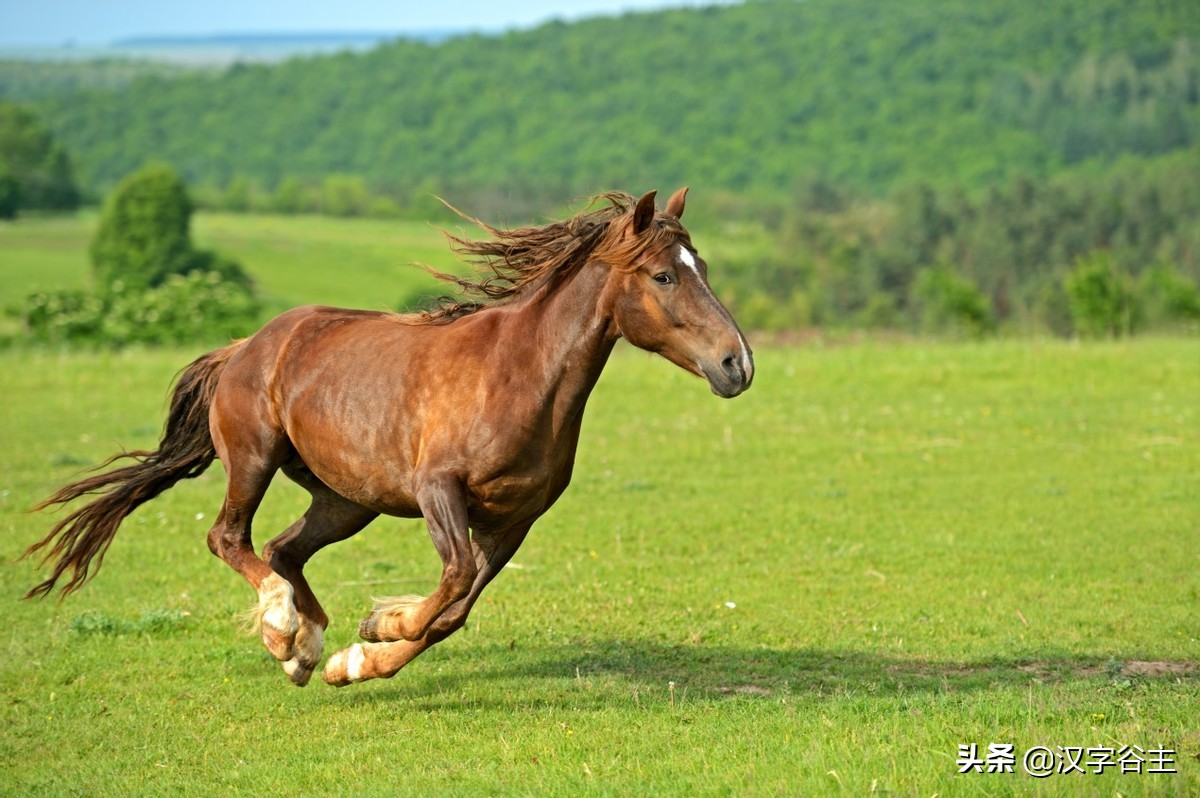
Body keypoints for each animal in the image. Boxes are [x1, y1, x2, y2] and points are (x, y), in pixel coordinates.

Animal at [23, 187, 753, 686]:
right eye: (664, 275)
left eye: (701, 265)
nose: (737, 365)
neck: (518, 376)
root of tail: (243, 347)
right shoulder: (438, 491)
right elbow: (452, 581)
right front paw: (379, 626)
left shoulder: (515, 519)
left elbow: (455, 610)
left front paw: (356, 657)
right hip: (255, 460)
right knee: (230, 538)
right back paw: (282, 629)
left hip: (348, 500)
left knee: (285, 550)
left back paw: (305, 650)